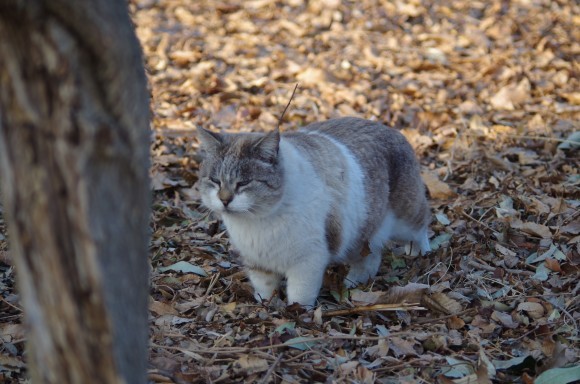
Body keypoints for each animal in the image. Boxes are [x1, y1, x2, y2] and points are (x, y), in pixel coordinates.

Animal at [197, 117, 428, 306]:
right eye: (215, 180)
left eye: (243, 183)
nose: (224, 200)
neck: (257, 221)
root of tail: (392, 129)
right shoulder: (257, 261)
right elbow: (264, 288)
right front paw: (265, 304)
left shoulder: (308, 261)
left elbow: (300, 295)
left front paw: (298, 314)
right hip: (362, 236)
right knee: (371, 257)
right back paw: (354, 280)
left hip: (405, 221)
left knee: (422, 225)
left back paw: (420, 252)